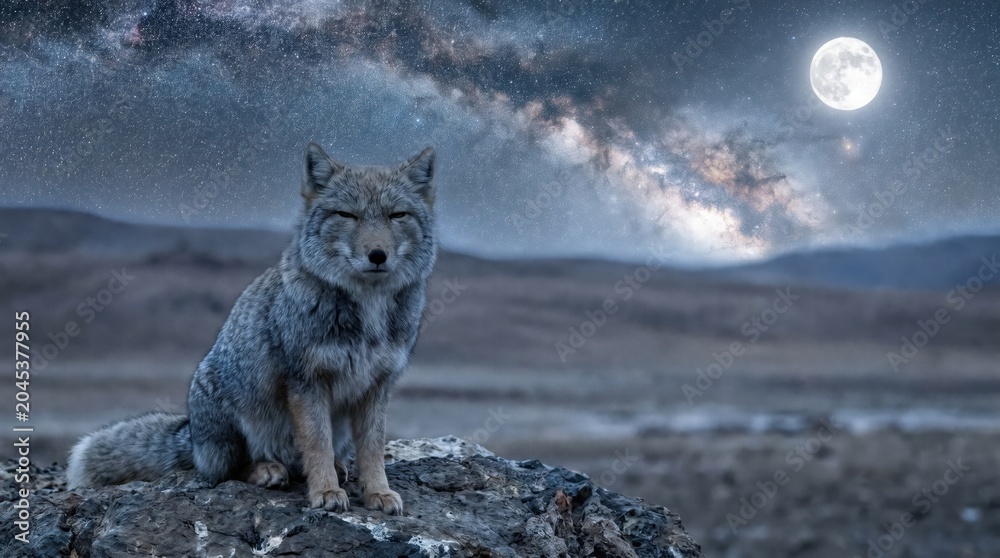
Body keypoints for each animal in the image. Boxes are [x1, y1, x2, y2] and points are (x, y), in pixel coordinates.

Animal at [66, 142, 438, 514]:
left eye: (397, 215)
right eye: (347, 215)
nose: (377, 255)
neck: (368, 308)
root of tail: (192, 436)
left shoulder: (378, 385)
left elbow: (372, 449)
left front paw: (378, 492)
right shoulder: (306, 380)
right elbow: (317, 443)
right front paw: (325, 491)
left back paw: (336, 467)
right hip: (231, 418)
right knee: (227, 471)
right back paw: (268, 470)